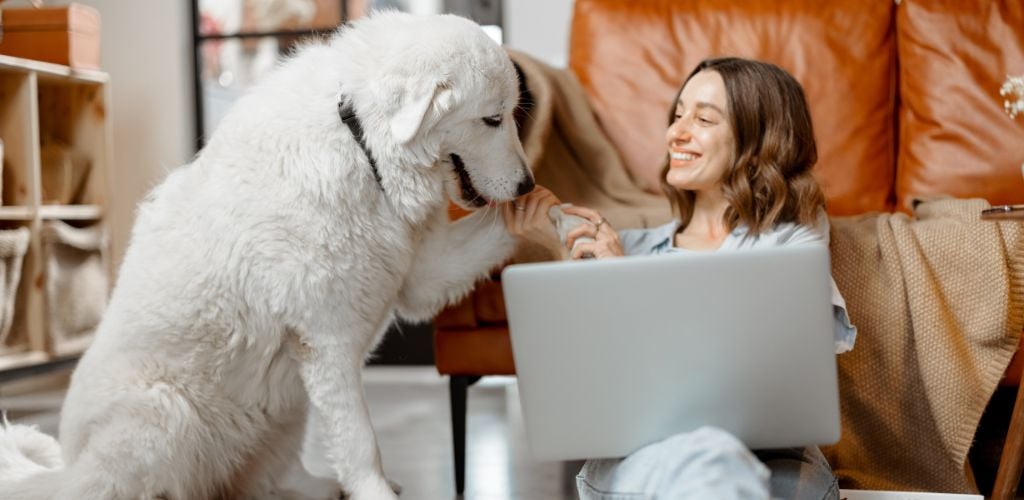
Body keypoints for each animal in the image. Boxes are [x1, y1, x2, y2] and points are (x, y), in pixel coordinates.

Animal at [2, 11, 536, 500]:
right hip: (165, 412)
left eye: (510, 115)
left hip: (284, 405)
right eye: (492, 119)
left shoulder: (420, 274)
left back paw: (319, 487)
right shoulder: (328, 344)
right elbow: (360, 441)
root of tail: (65, 473)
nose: (527, 184)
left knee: (274, 479)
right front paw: (375, 492)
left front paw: (542, 214)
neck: (360, 142)